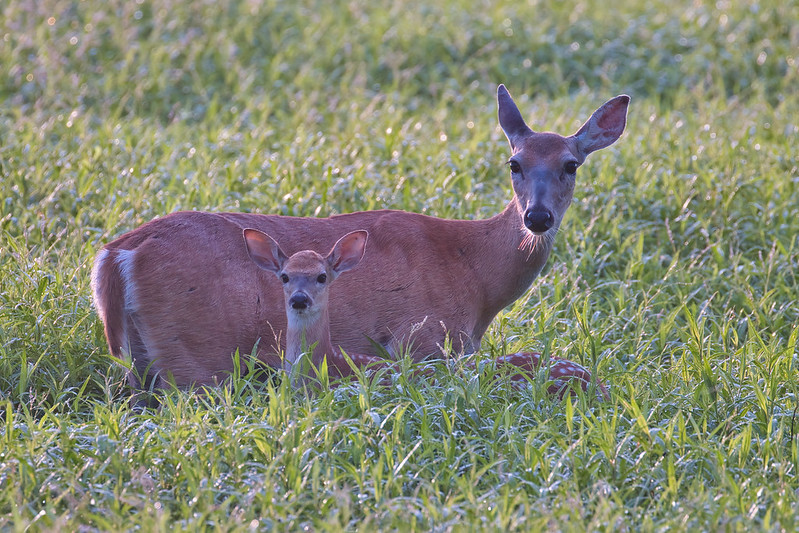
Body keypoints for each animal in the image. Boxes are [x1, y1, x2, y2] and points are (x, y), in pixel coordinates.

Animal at [92, 84, 632, 390]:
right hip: (195, 354)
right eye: (514, 163)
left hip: (145, 358)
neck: (476, 275)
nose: (537, 217)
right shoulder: (424, 336)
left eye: (571, 164)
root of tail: (119, 254)